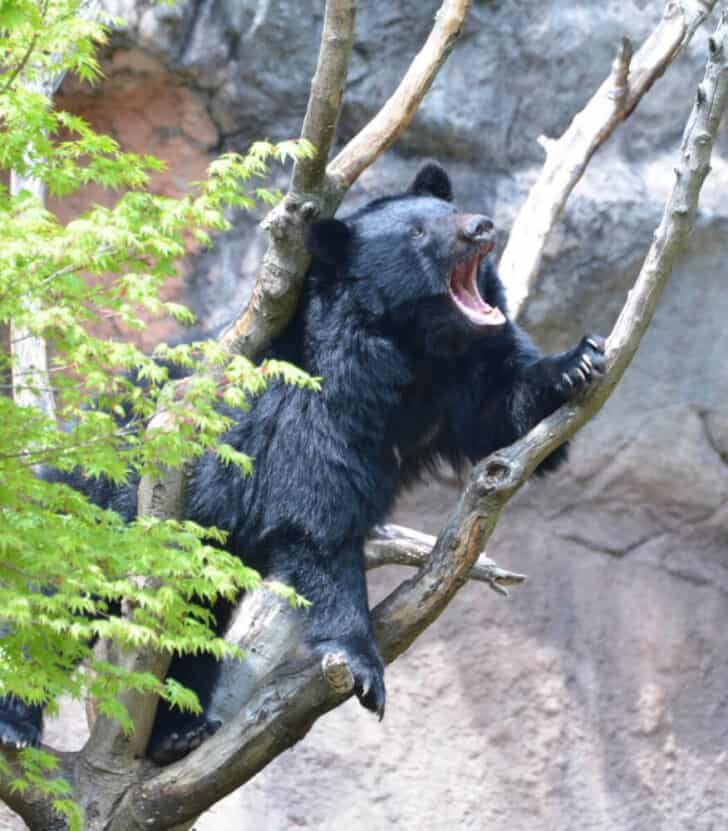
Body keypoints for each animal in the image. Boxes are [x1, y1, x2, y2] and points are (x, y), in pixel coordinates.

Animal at [0, 162, 604, 760]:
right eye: (418, 234)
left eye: (449, 212)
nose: (481, 226)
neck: (412, 351)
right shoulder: (314, 402)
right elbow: (317, 515)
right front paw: (363, 668)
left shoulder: (460, 377)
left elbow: (500, 410)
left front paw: (577, 363)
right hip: (106, 509)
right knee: (58, 600)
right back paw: (19, 723)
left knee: (194, 623)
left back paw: (177, 734)